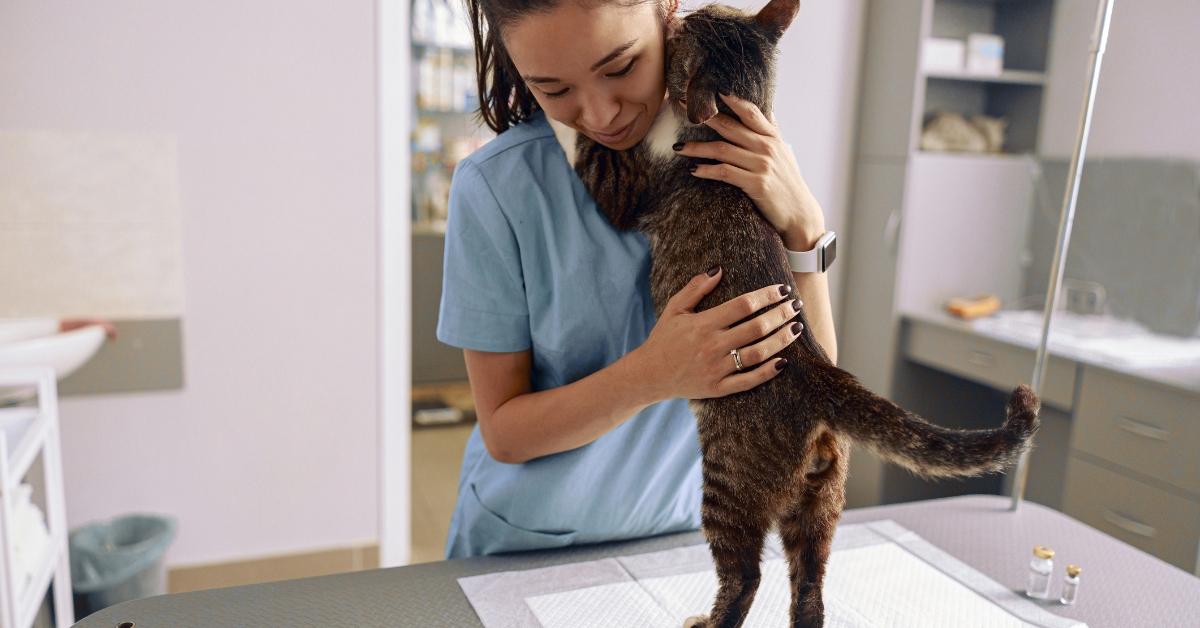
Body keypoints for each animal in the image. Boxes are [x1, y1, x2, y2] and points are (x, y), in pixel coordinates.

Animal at [547, 2, 1041, 624]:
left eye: (683, 36)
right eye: (703, 14)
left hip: (728, 484)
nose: (678, 13)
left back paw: (710, 616)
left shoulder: (631, 190)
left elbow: (593, 156)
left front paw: (554, 116)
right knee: (809, 589)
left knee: (746, 577)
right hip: (822, 501)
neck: (720, 126)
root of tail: (819, 371)